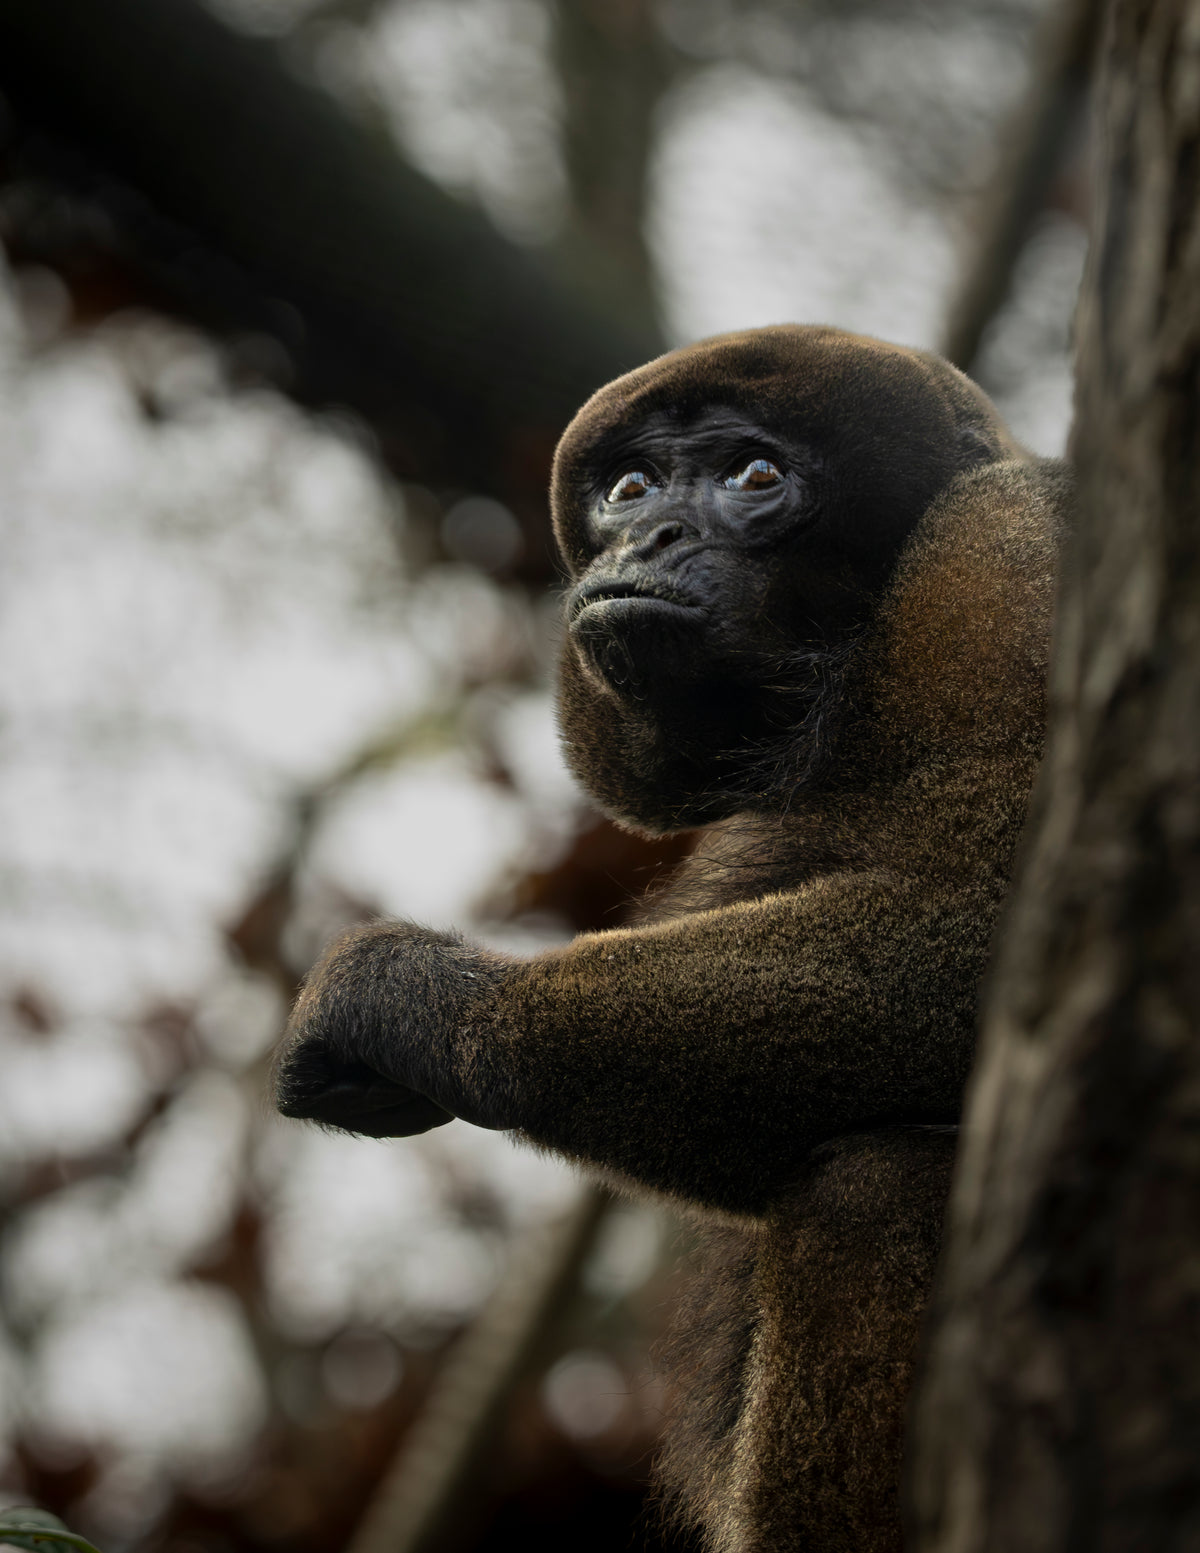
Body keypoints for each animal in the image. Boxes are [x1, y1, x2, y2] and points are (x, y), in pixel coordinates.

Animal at [272, 325, 1069, 1551]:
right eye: (632, 488)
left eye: (755, 475)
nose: (650, 538)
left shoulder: (1010, 554)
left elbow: (989, 936)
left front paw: (420, 1004)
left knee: (880, 1187)